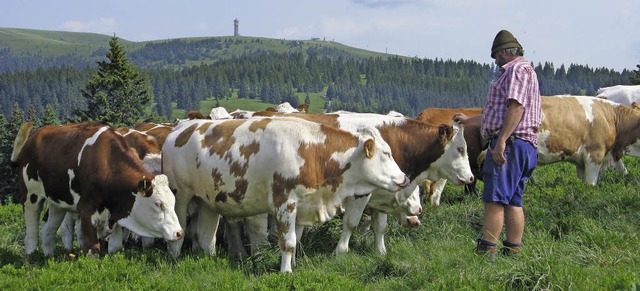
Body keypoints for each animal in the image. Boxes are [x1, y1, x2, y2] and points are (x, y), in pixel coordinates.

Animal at [11, 122, 184, 256]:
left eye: (173, 202)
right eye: (158, 204)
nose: (179, 233)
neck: (107, 164)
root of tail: (34, 135)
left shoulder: (117, 209)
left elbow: (115, 247)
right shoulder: (86, 208)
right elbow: (92, 249)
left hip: (57, 201)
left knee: (49, 228)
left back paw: (49, 256)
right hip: (31, 196)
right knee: (32, 227)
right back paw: (31, 255)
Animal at [162, 117, 408, 272]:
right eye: (386, 153)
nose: (404, 178)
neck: (312, 152)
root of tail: (178, 131)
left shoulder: (305, 204)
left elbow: (296, 239)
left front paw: (294, 265)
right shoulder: (284, 203)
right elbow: (288, 242)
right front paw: (286, 271)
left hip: (207, 201)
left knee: (206, 236)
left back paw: (208, 257)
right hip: (180, 195)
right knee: (179, 229)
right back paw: (173, 258)